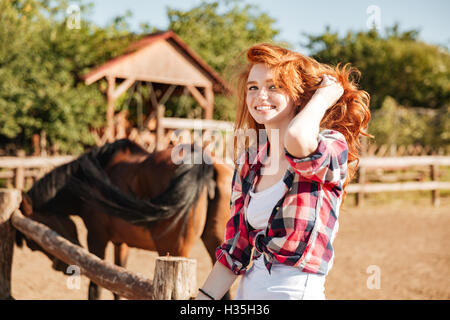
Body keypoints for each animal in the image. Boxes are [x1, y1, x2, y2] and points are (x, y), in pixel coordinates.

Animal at [14, 140, 232, 300]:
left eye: (32, 242)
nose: (61, 267)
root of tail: (203, 164)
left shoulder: (97, 239)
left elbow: (95, 288)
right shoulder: (122, 243)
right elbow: (118, 284)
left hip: (175, 249)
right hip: (215, 242)